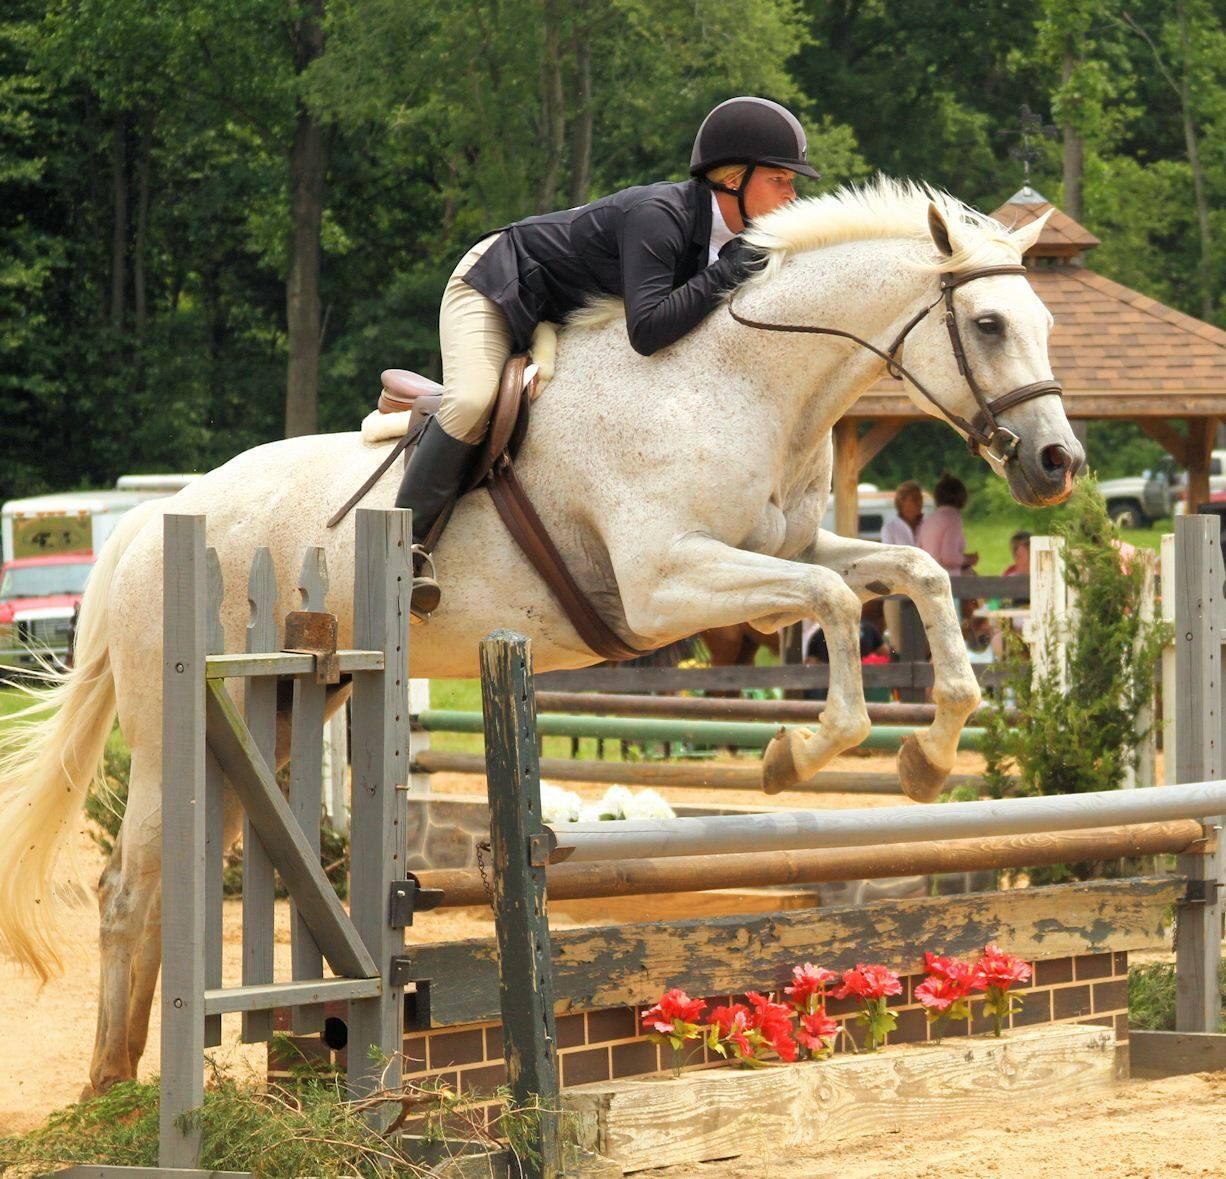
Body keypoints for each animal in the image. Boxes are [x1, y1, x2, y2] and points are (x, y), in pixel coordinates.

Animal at [0, 176, 1078, 1093]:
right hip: (180, 715)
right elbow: (838, 606)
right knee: (129, 887)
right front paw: (797, 753)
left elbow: (907, 580)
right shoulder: (663, 584)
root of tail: (152, 522)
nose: (1056, 464)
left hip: (273, 715)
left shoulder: (771, 565)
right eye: (987, 325)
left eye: (1044, 322)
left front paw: (928, 756)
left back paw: (129, 1075)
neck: (741, 382)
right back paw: (110, 1093)